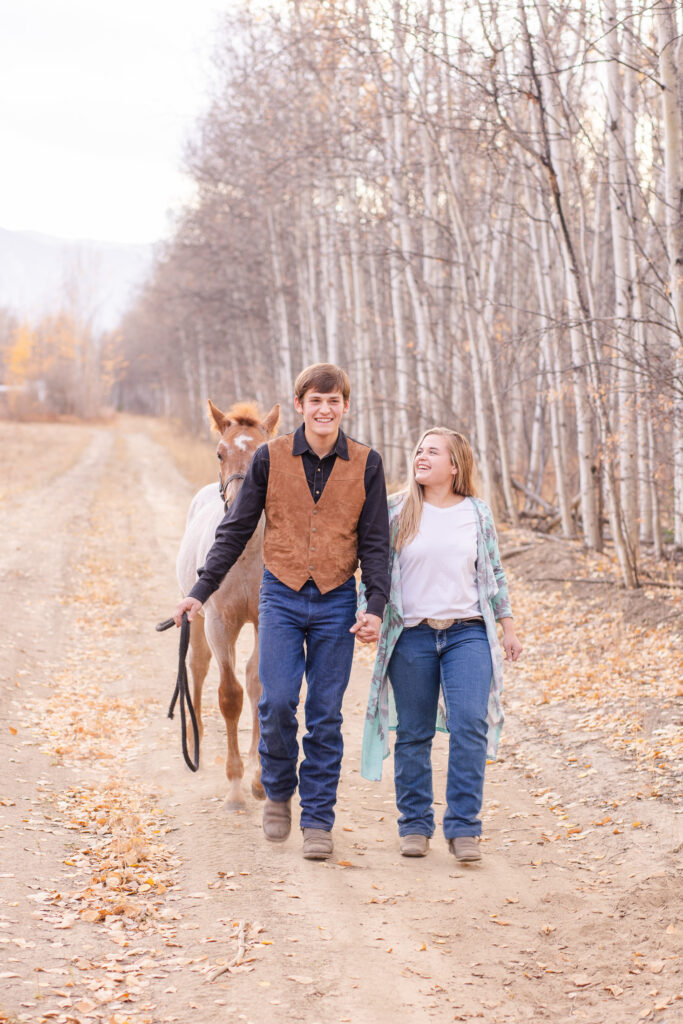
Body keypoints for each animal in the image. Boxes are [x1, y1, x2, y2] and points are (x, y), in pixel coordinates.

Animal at [179, 399, 282, 806]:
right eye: (220, 453)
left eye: (263, 453)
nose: (242, 507)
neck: (246, 553)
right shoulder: (219, 623)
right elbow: (229, 695)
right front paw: (235, 786)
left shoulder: (267, 622)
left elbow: (258, 686)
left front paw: (258, 777)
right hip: (195, 621)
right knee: (197, 667)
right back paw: (196, 743)